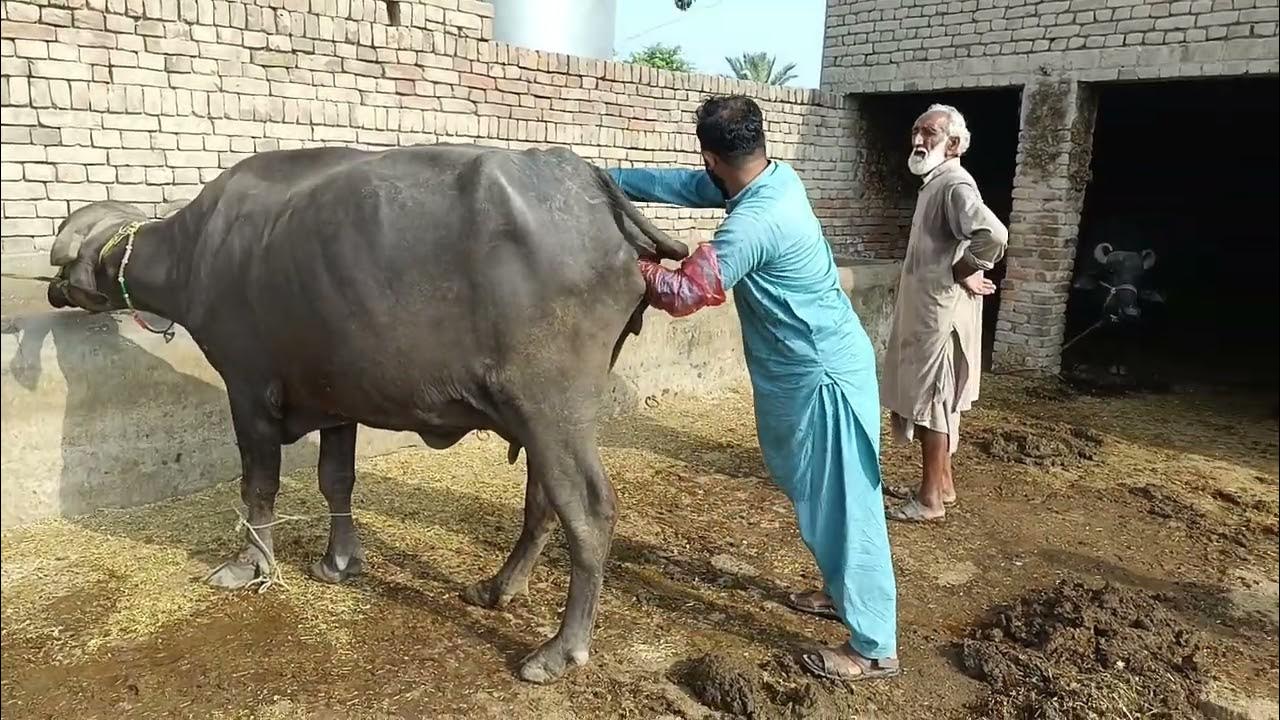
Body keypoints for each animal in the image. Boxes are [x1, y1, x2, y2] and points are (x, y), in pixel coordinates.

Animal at [44, 143, 688, 683]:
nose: (53, 291)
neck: (200, 250)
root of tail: (596, 191)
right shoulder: (335, 402)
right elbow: (336, 480)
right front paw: (338, 562)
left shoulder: (247, 392)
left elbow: (259, 485)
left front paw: (249, 564)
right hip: (542, 417)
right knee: (543, 503)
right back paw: (497, 589)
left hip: (552, 409)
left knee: (590, 511)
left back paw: (558, 651)